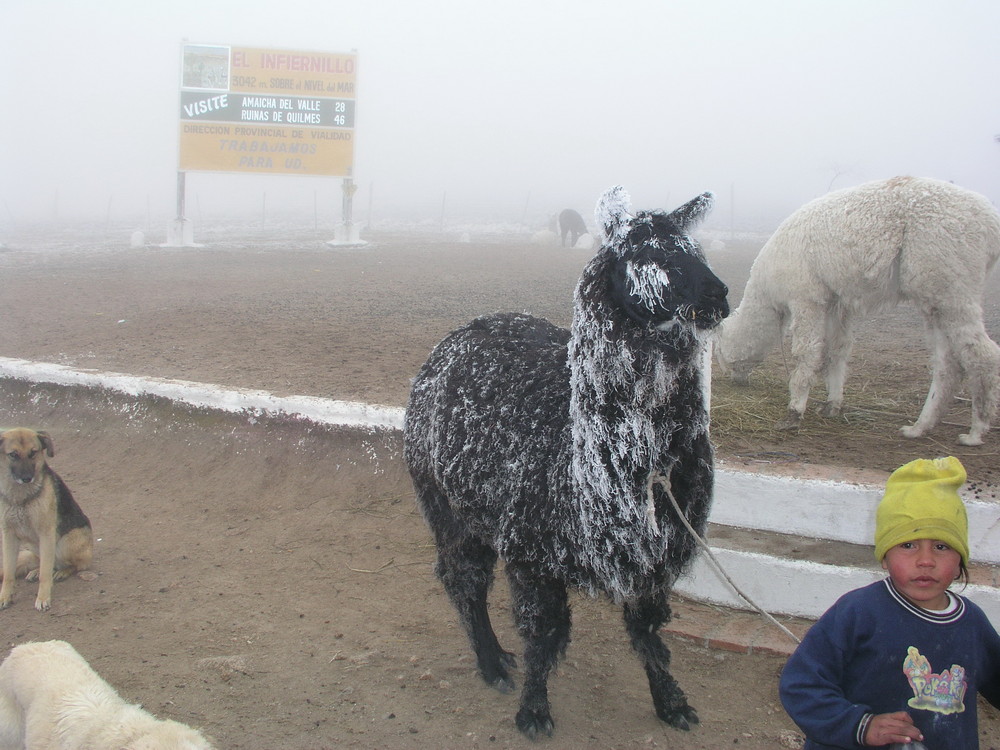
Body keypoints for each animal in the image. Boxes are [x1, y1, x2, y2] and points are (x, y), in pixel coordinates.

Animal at [0, 428, 93, 612]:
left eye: (33, 453)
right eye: (13, 454)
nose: (27, 478)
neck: (20, 498)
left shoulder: (46, 533)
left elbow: (45, 574)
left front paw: (43, 598)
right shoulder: (8, 535)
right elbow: (8, 572)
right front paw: (5, 597)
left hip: (64, 544)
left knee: (74, 565)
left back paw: (61, 572)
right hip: (34, 545)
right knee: (44, 562)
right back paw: (36, 570)